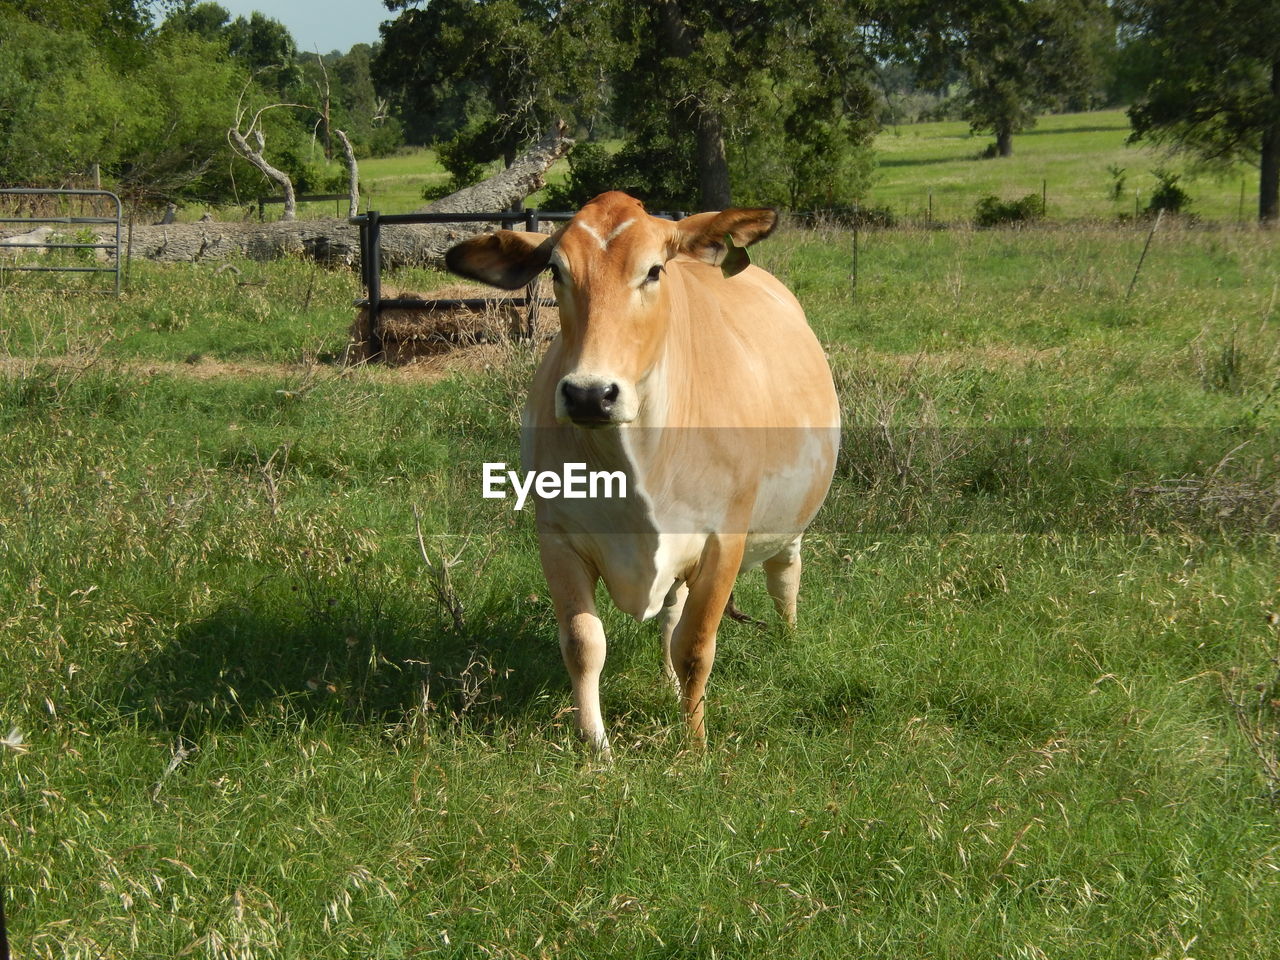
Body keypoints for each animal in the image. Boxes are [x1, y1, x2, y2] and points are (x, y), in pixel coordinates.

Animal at [445, 189, 844, 757]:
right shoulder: (557, 536)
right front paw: (596, 744)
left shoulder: (724, 542)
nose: (590, 394)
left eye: (654, 270)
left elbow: (697, 646)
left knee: (784, 576)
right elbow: (584, 642)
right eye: (556, 270)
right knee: (671, 616)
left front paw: (695, 742)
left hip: (790, 520)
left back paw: (788, 639)